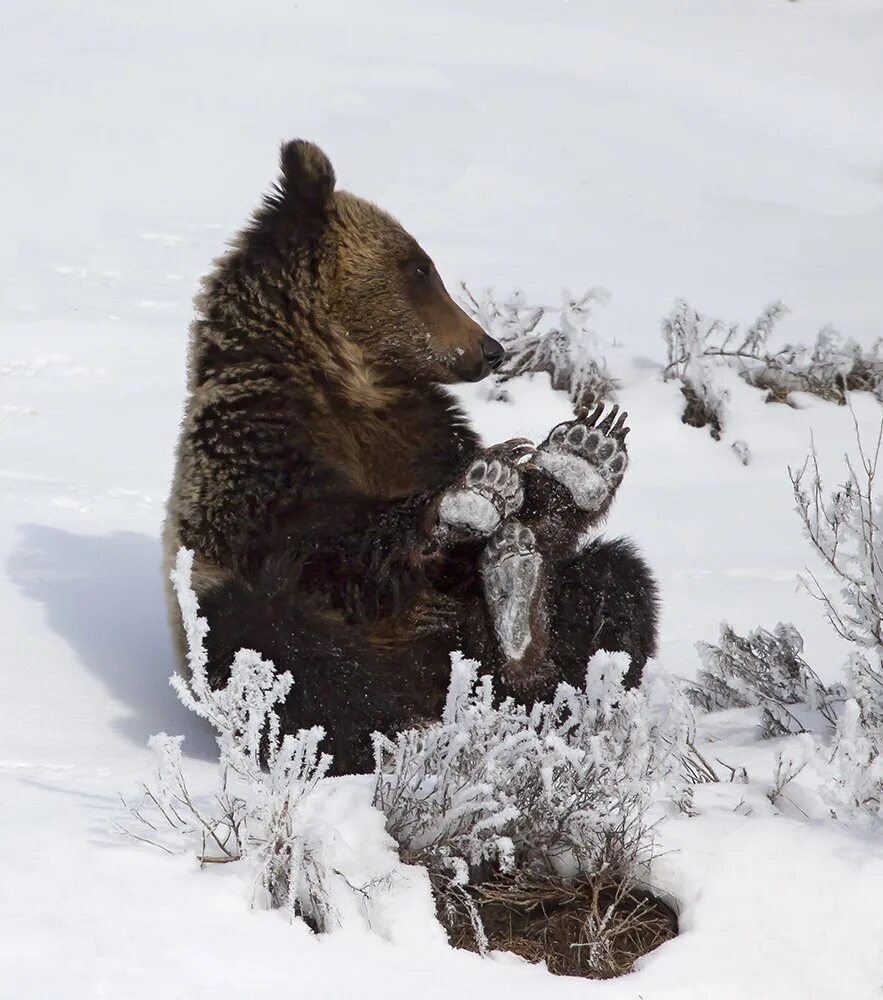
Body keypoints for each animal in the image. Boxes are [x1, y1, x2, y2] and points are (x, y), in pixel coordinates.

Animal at [166, 139, 660, 772]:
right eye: (420, 269)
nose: (490, 347)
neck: (347, 382)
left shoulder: (425, 433)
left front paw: (571, 464)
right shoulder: (253, 450)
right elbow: (319, 542)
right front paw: (467, 498)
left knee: (614, 584)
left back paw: (525, 632)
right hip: (259, 627)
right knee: (279, 647)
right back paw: (398, 728)